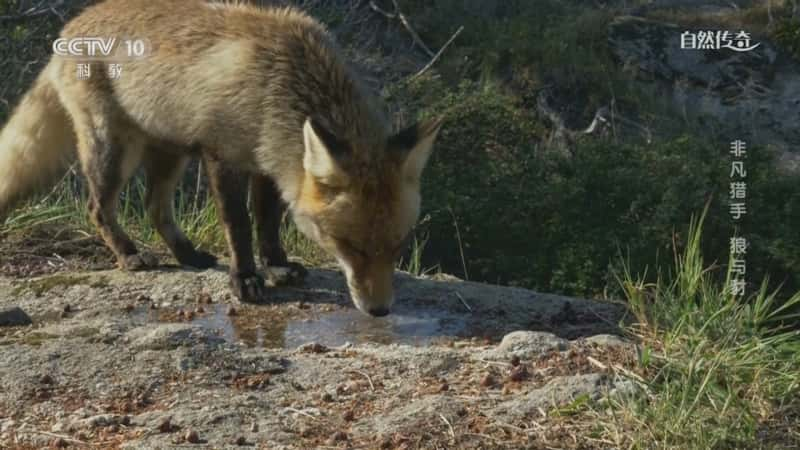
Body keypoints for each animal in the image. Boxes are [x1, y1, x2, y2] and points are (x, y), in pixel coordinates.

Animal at [0, 0, 440, 316]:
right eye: (348, 245)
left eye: (398, 245)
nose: (379, 311)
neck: (278, 84)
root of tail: (69, 28)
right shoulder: (223, 156)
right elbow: (239, 225)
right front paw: (244, 279)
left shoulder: (268, 162)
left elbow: (267, 221)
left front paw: (277, 266)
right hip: (114, 151)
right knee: (98, 206)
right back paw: (129, 254)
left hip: (169, 154)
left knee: (155, 208)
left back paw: (188, 255)